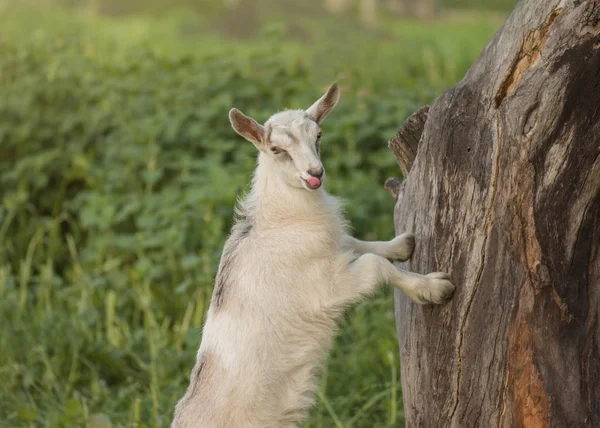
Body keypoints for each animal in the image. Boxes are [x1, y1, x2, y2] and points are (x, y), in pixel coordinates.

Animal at [171, 83, 452, 428]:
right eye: (276, 149)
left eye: (318, 135)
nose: (314, 173)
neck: (278, 221)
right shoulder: (326, 289)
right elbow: (375, 265)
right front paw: (433, 288)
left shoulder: (332, 248)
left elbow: (356, 243)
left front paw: (401, 244)